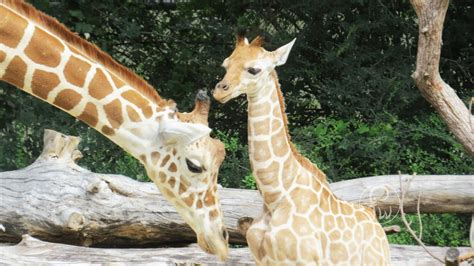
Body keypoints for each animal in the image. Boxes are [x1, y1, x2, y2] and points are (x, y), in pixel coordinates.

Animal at [214, 35, 388, 266]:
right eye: (225, 64)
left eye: (254, 69)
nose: (219, 90)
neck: (274, 196)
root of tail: (378, 227)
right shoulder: (261, 259)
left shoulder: (305, 260)